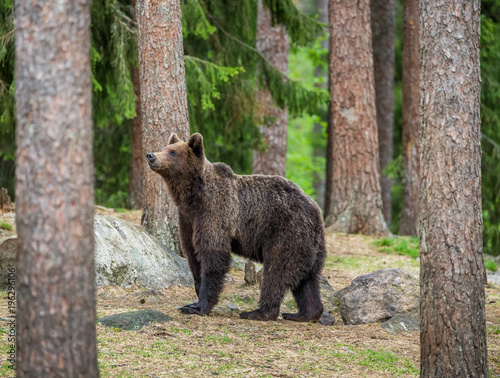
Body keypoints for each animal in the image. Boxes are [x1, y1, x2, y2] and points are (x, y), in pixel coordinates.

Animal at [146, 133, 324, 322]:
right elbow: (193, 256)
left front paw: (200, 306)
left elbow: (213, 255)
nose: (151, 155)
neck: (192, 198)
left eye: (172, 152)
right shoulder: (188, 220)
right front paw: (191, 303)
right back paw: (304, 313)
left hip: (286, 232)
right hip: (311, 245)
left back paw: (259, 312)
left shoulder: (214, 213)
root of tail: (315, 209)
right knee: (308, 279)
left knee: (277, 271)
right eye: (164, 148)